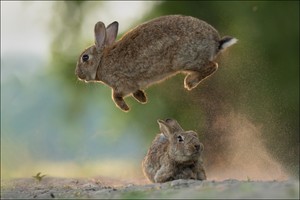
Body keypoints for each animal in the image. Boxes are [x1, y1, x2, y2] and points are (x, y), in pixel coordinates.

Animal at [74, 14, 237, 111]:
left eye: (85, 58)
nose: (78, 74)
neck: (101, 61)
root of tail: (216, 42)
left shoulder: (121, 83)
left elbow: (116, 96)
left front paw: (125, 107)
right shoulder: (131, 85)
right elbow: (135, 91)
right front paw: (142, 99)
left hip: (183, 60)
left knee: (212, 66)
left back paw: (190, 82)